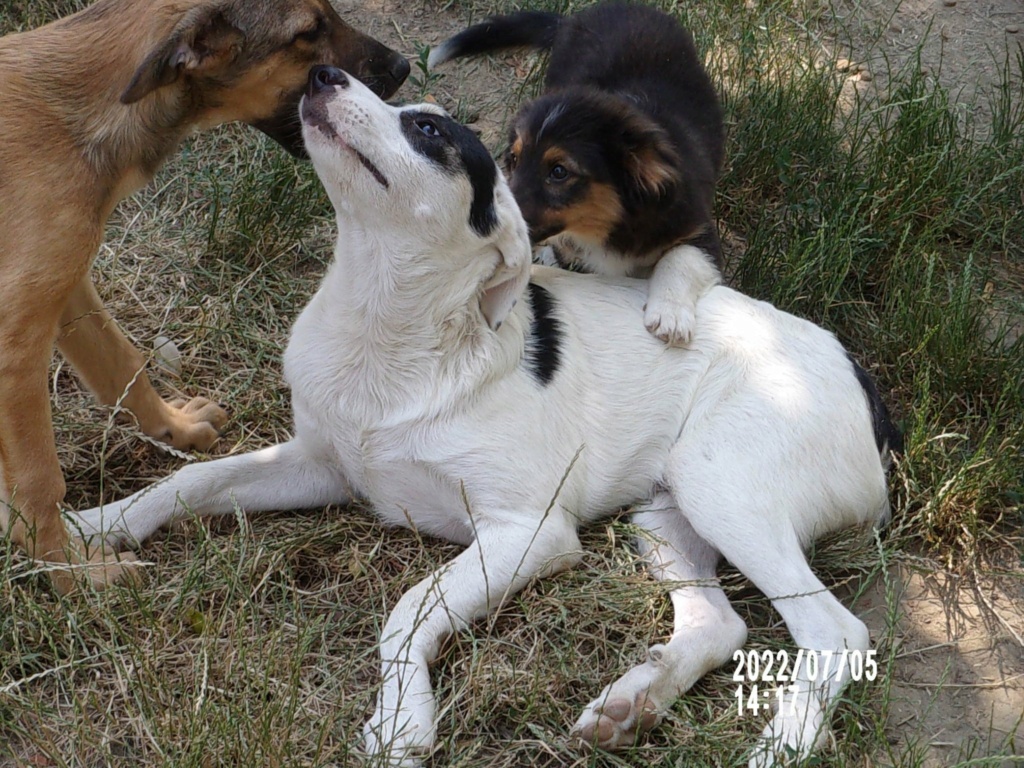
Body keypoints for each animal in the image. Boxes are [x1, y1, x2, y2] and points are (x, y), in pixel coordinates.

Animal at [0, 0, 407, 593]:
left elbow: (121, 363)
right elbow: (37, 480)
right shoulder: (17, 333)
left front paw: (176, 428)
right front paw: (72, 574)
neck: (79, 116)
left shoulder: (65, 283)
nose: (403, 67)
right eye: (307, 32)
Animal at [72, 64, 901, 768]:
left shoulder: (528, 532)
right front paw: (93, 528)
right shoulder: (321, 463)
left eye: (428, 131)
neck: (386, 328)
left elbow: (407, 610)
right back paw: (634, 703)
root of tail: (863, 380)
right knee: (720, 623)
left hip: (720, 481)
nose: (322, 73)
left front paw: (402, 720)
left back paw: (779, 744)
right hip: (665, 512)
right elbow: (190, 481)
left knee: (836, 632)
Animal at [428, 0, 724, 346]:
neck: (608, 227)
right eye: (513, 160)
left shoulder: (698, 226)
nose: (497, 219)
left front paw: (670, 316)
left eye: (559, 171)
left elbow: (681, 258)